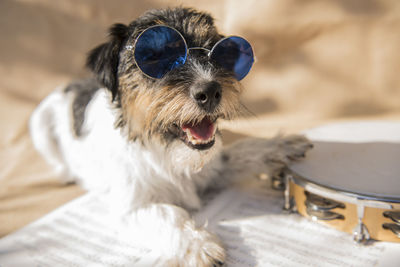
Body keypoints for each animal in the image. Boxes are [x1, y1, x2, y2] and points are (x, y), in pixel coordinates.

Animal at [30, 7, 312, 267]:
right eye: (154, 58)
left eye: (217, 51)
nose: (210, 91)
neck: (166, 151)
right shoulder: (131, 208)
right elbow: (169, 214)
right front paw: (198, 246)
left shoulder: (213, 169)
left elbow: (240, 152)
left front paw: (278, 146)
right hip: (40, 126)